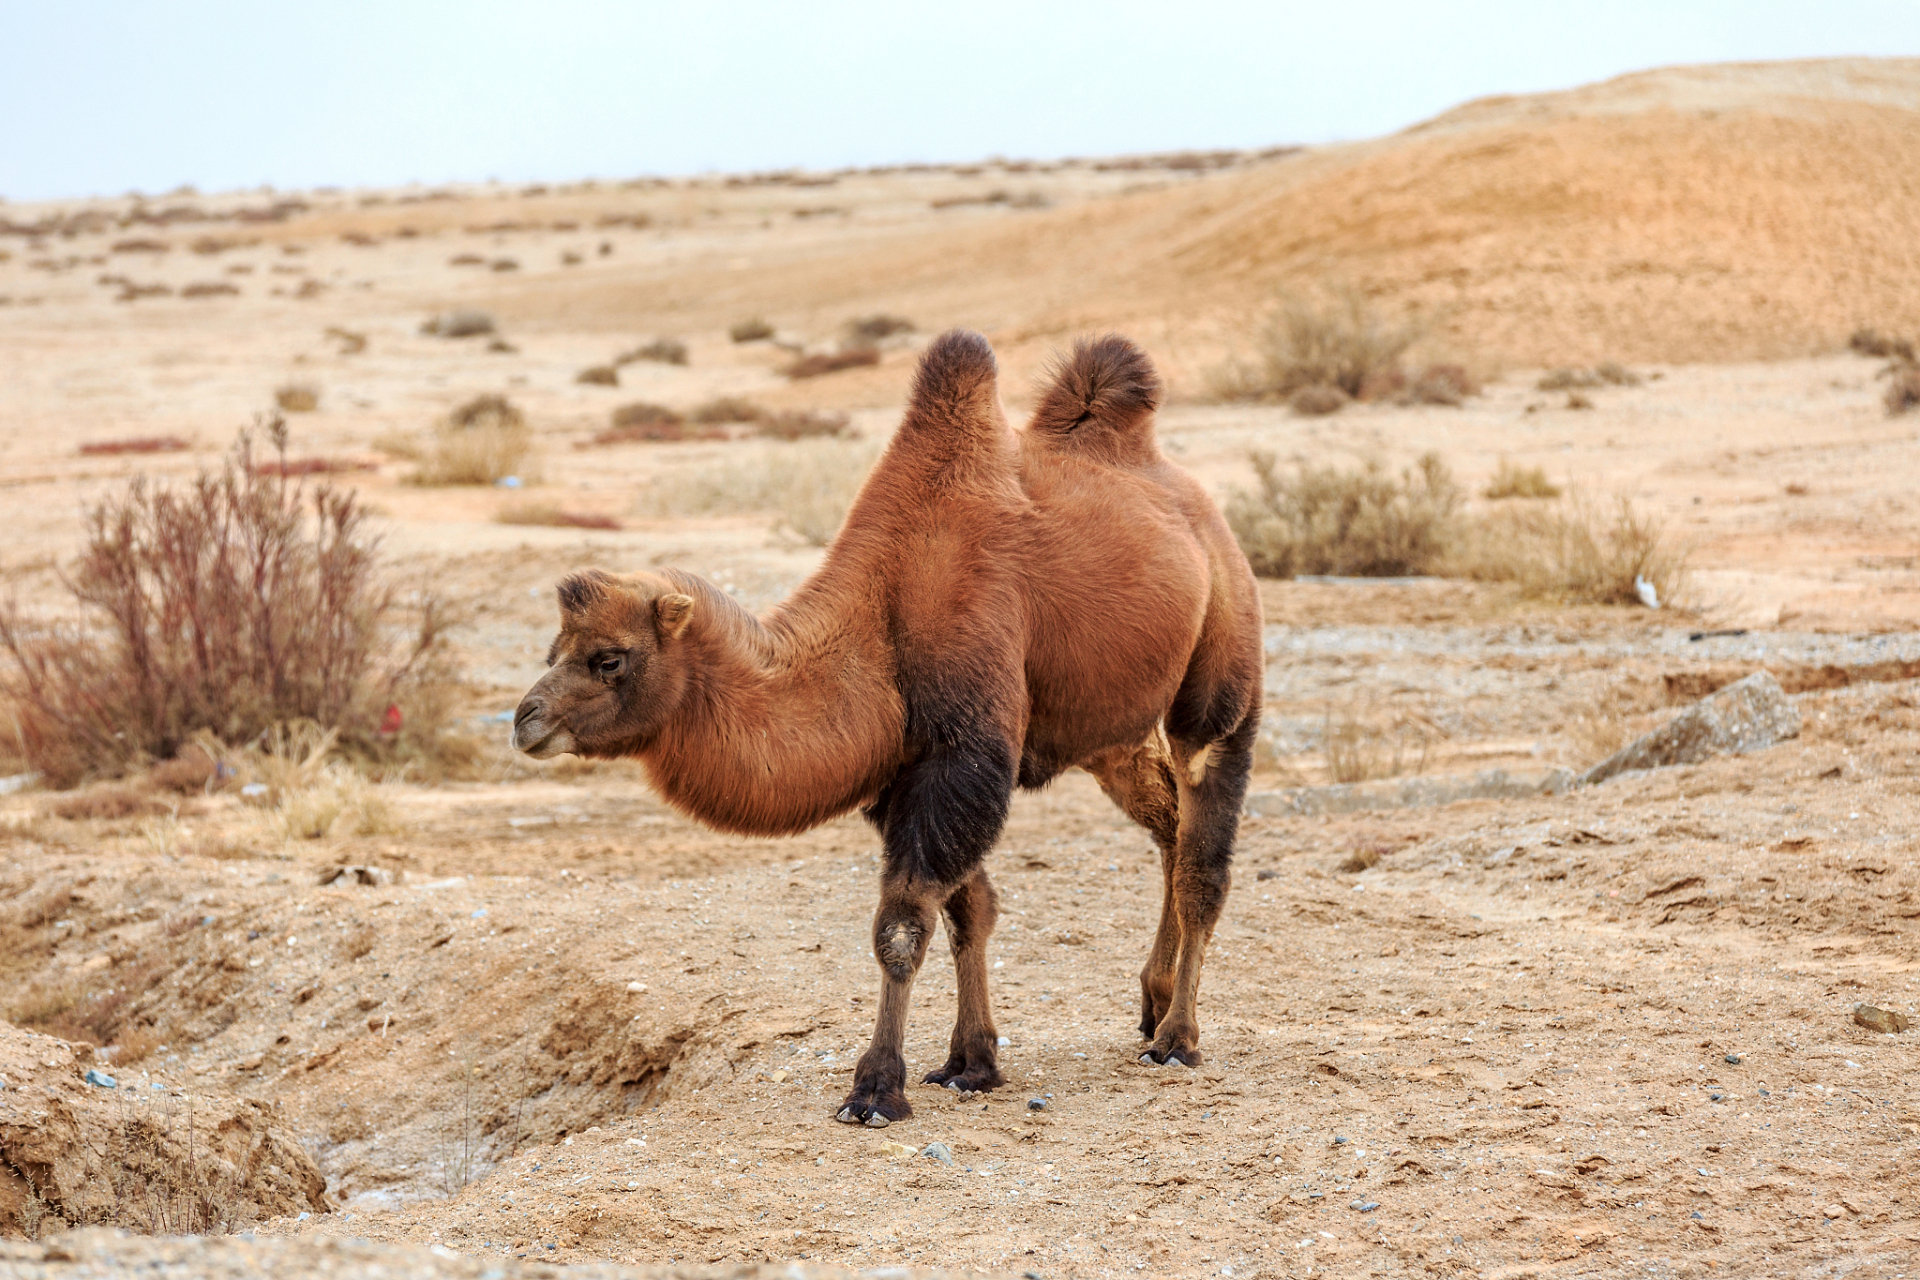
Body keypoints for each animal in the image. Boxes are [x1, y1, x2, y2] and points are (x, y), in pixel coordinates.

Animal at [514, 333, 1259, 1128]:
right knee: (1168, 824)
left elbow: (901, 926)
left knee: (1202, 848)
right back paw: (1151, 1004)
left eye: (608, 658)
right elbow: (969, 910)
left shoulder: (962, 757)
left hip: (1222, 667)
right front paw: (971, 1063)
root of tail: (1196, 506)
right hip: (1111, 733)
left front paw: (875, 1088)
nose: (525, 720)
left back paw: (1177, 1038)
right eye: (553, 650)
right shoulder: (902, 774)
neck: (880, 624)